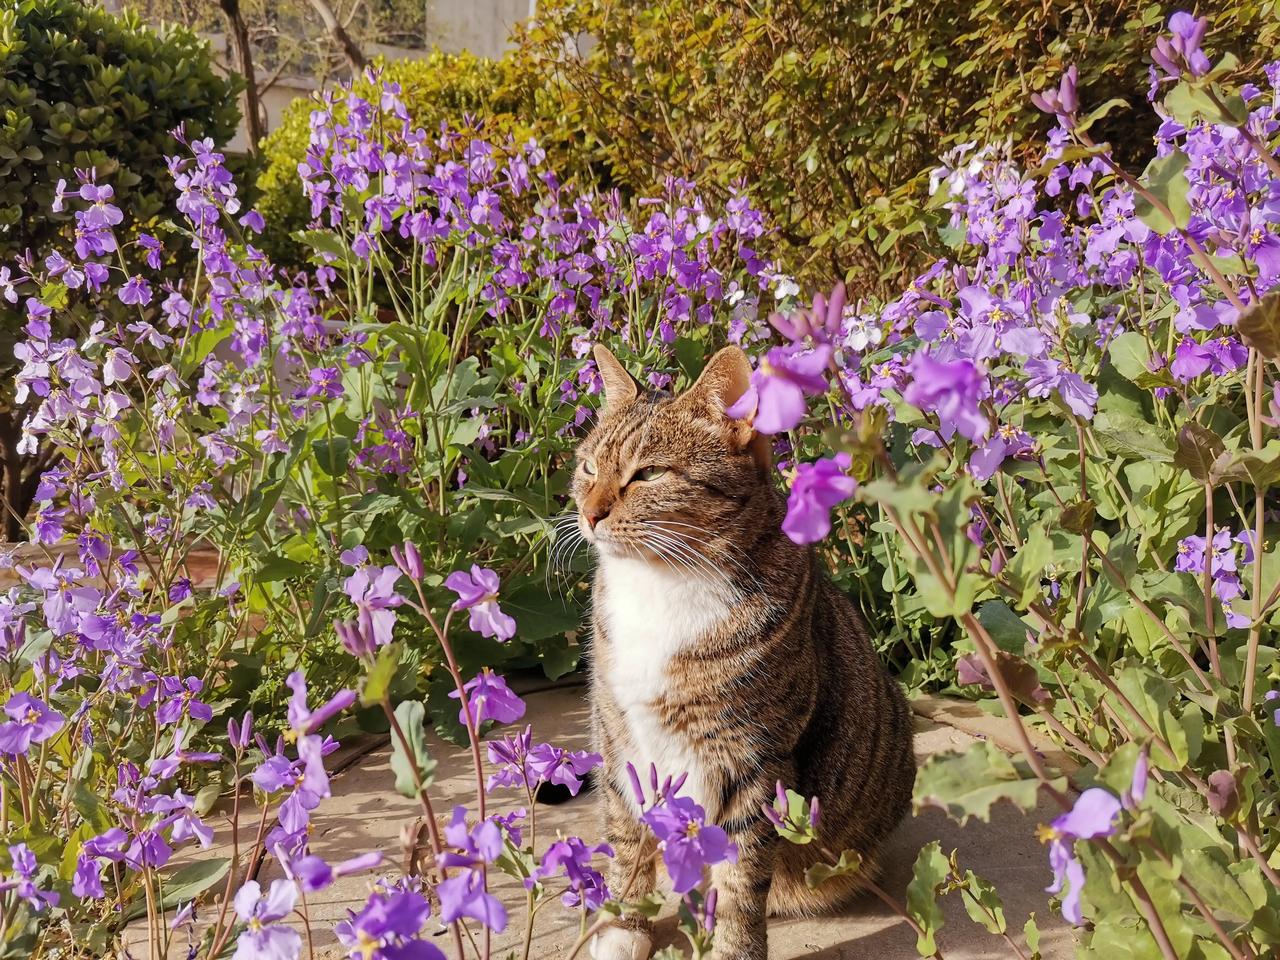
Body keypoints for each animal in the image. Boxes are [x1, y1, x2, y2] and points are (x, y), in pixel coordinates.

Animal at [576, 345, 916, 960]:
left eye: (648, 474)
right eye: (589, 467)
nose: (589, 514)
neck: (662, 584)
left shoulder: (754, 760)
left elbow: (739, 875)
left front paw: (731, 944)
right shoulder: (618, 737)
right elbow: (627, 832)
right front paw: (623, 925)